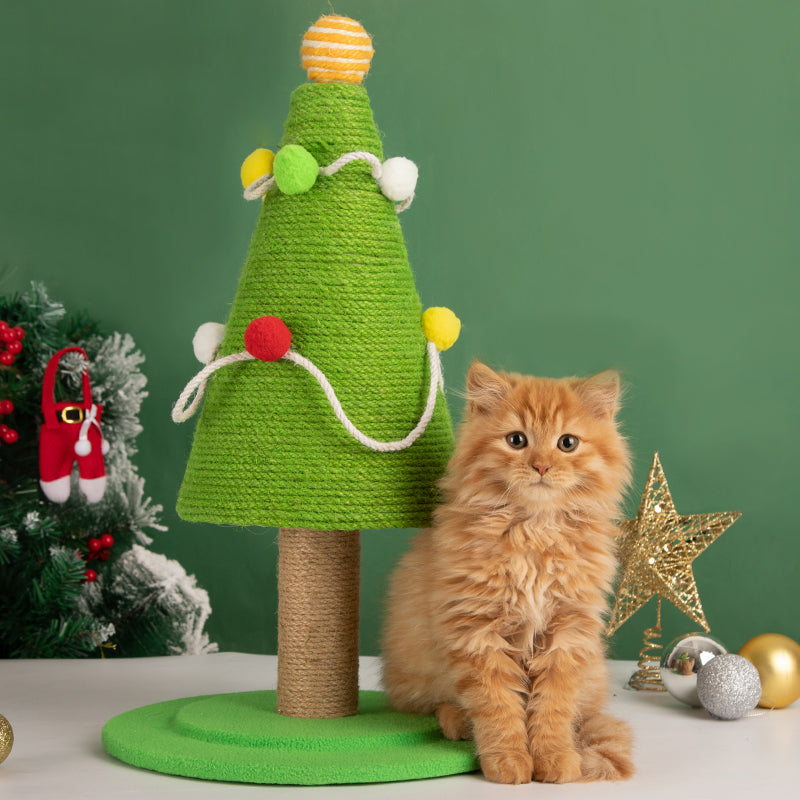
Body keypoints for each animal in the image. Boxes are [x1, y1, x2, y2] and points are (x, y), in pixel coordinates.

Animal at [384, 364, 636, 788]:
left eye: (567, 443)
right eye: (517, 440)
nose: (541, 466)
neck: (535, 530)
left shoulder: (568, 633)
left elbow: (553, 707)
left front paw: (554, 758)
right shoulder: (476, 631)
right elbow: (498, 706)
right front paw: (509, 760)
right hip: (415, 668)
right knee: (431, 705)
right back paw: (457, 722)